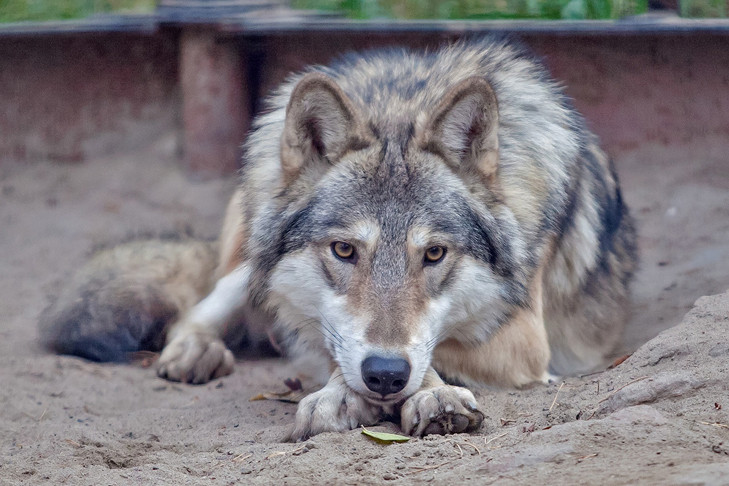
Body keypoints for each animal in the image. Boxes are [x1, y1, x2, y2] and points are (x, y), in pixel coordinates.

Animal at [39, 37, 636, 440]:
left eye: (434, 254)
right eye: (344, 250)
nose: (384, 376)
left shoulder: (526, 341)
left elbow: (429, 348)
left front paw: (432, 397)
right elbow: (339, 346)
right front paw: (348, 395)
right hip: (251, 251)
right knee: (201, 308)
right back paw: (196, 352)